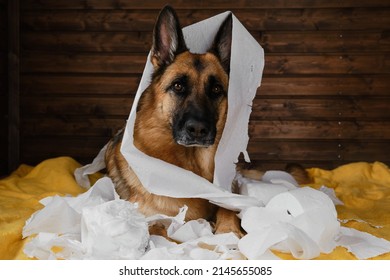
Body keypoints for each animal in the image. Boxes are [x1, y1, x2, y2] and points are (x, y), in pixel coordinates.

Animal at [105, 6, 310, 237]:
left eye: (216, 89)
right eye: (178, 86)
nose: (197, 129)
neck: (192, 164)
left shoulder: (228, 192)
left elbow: (227, 209)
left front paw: (227, 230)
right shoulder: (149, 219)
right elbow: (157, 228)